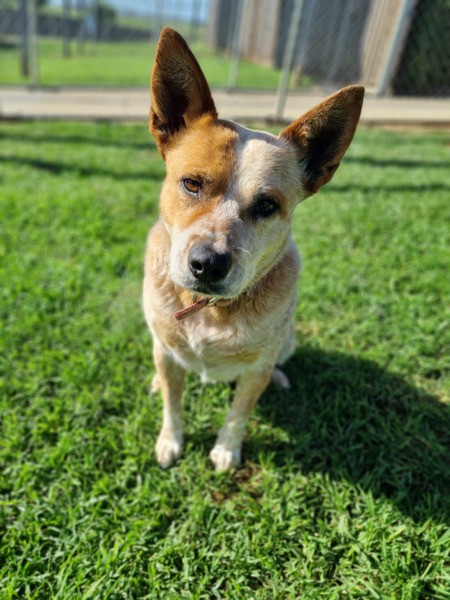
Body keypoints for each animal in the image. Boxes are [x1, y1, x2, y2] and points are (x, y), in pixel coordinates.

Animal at [143, 27, 364, 471]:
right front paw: (170, 440)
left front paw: (227, 451)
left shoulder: (255, 371)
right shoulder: (166, 349)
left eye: (266, 205)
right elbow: (174, 404)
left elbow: (239, 413)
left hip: (289, 339)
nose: (208, 264)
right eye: (191, 184)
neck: (208, 312)